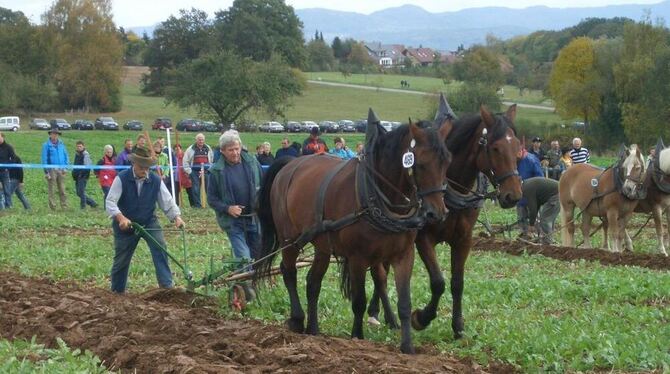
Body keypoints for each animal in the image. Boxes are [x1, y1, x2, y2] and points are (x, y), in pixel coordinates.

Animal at [255, 112, 454, 354]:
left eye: (447, 161)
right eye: (422, 163)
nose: (437, 213)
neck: (377, 195)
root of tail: (290, 164)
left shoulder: (404, 254)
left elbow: (404, 302)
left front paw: (407, 345)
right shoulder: (358, 258)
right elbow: (359, 301)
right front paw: (357, 337)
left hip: (322, 245)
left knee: (313, 282)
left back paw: (313, 329)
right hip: (289, 239)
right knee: (289, 271)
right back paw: (297, 319)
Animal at [368, 98, 524, 338]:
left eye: (517, 147)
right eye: (495, 148)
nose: (513, 195)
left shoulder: (464, 239)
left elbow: (457, 282)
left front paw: (458, 326)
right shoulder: (423, 239)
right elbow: (438, 282)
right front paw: (421, 318)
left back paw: (379, 312)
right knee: (381, 274)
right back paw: (386, 317)